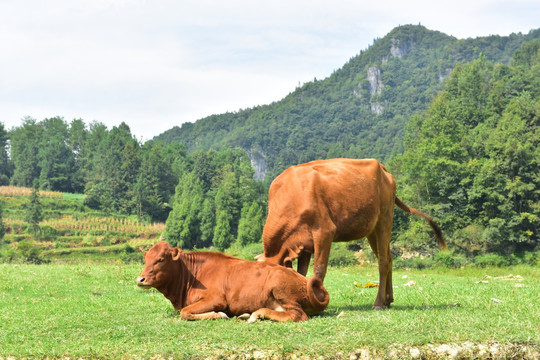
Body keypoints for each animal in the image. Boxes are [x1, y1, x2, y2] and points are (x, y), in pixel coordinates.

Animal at [135, 242, 330, 320]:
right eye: (146, 259)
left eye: (161, 259)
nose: (140, 279)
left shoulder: (216, 299)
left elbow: (185, 312)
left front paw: (219, 314)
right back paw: (249, 314)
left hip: (280, 287)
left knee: (297, 315)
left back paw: (256, 314)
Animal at [260, 158, 446, 310]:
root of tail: (383, 168)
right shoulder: (303, 243)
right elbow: (301, 273)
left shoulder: (324, 231)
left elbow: (319, 269)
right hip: (372, 229)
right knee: (388, 257)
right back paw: (388, 300)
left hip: (385, 219)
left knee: (383, 261)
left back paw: (379, 303)